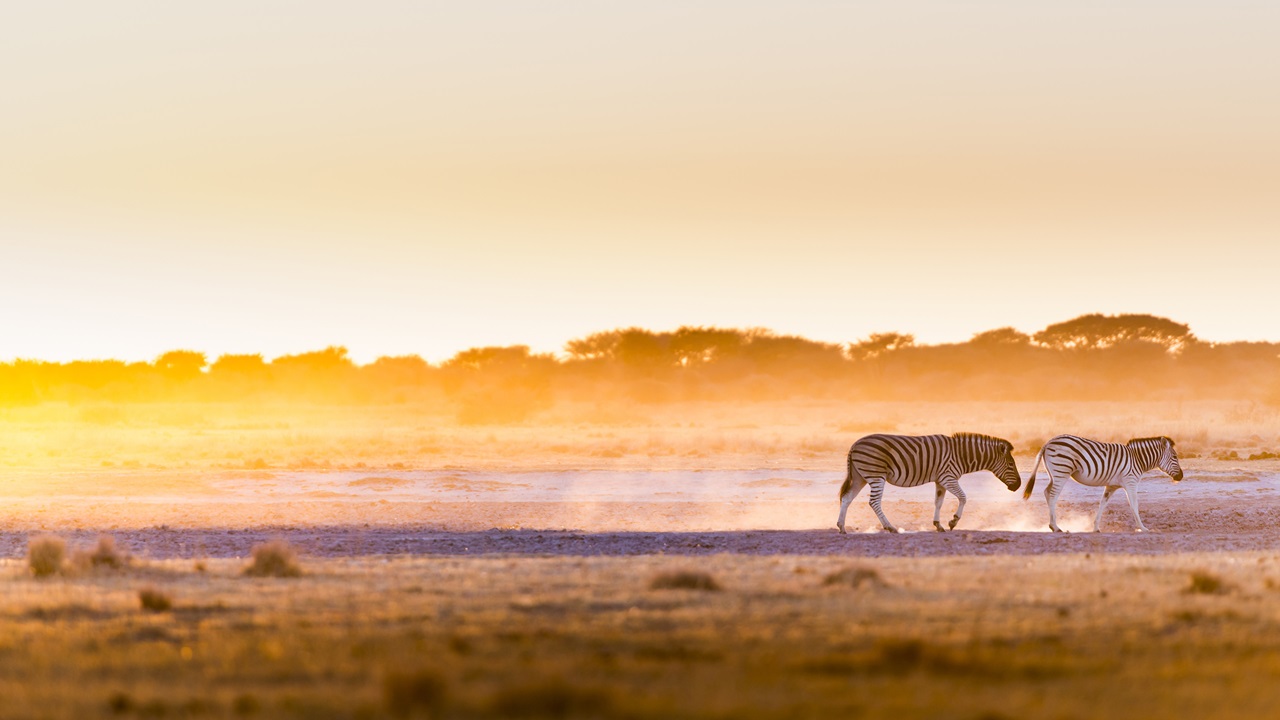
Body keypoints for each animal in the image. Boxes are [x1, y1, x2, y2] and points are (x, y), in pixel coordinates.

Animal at [834, 430, 1024, 532]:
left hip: (860, 477)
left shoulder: (940, 481)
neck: (961, 455)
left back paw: (842, 527)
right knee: (874, 502)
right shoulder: (948, 478)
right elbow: (963, 497)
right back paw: (890, 527)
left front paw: (938, 525)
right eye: (1011, 464)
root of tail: (855, 444)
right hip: (876, 475)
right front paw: (953, 521)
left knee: (847, 498)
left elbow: (938, 502)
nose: (1018, 486)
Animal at [1024, 435, 1182, 530]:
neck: (1137, 459)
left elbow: (1102, 504)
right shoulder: (1131, 482)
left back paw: (1052, 525)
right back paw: (1055, 527)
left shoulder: (1111, 486)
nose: (1181, 476)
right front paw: (1142, 528)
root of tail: (1049, 441)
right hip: (1061, 471)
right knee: (1052, 495)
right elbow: (1134, 505)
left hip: (1054, 473)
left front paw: (1095, 528)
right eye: (1175, 456)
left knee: (1046, 492)